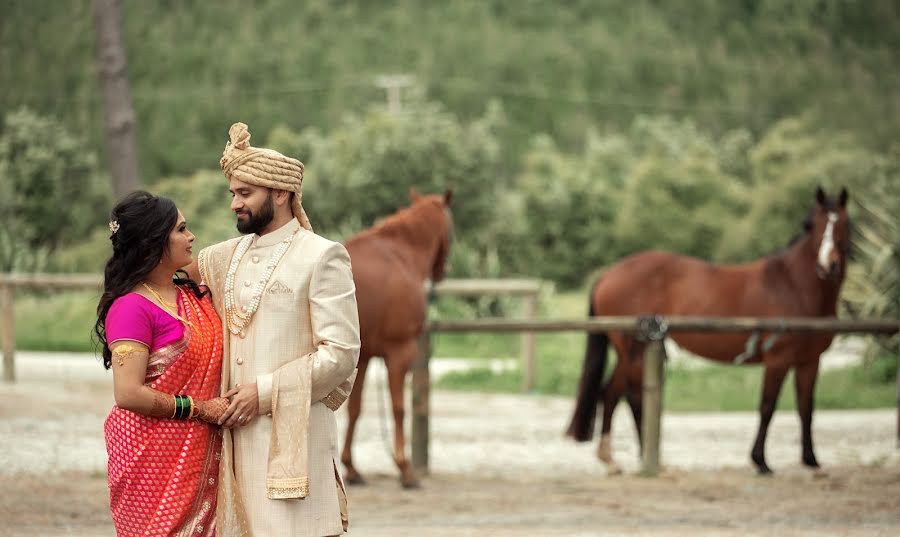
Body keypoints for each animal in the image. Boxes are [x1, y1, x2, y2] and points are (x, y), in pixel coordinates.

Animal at [342, 188, 454, 486]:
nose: (443, 271)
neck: (400, 256)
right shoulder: (399, 353)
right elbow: (399, 408)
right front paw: (405, 469)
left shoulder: (364, 357)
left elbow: (355, 409)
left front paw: (351, 468)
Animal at [568, 186, 852, 472]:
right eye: (813, 225)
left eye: (842, 224)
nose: (828, 265)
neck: (793, 286)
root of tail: (608, 275)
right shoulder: (777, 360)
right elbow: (767, 406)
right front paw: (760, 461)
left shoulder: (810, 361)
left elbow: (806, 408)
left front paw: (811, 459)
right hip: (632, 351)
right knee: (627, 395)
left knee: (616, 393)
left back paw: (620, 459)